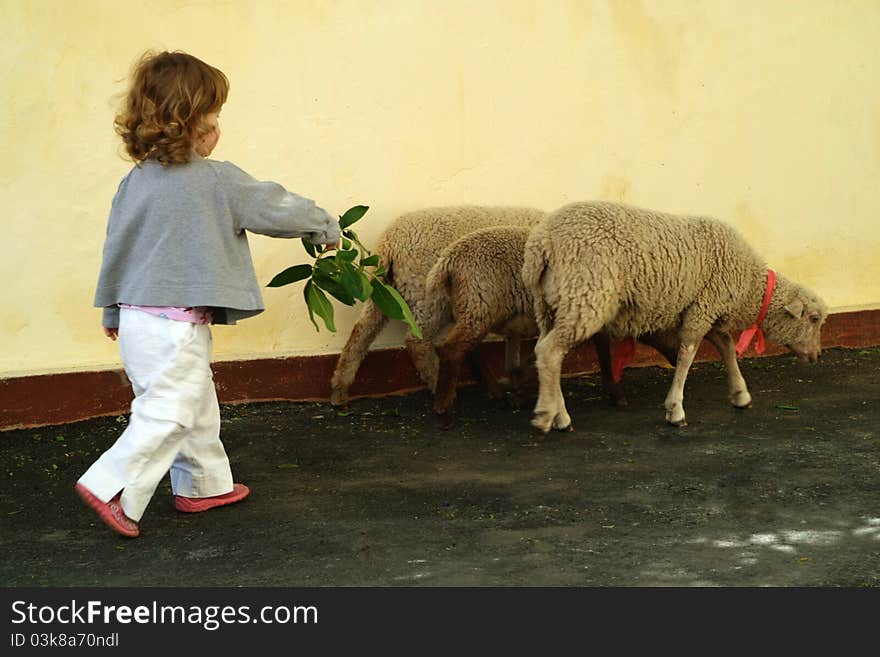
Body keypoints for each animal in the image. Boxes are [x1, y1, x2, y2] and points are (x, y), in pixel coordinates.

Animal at [330, 208, 548, 408]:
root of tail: (390, 243)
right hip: (429, 295)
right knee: (418, 341)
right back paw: (438, 385)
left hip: (384, 292)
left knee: (361, 332)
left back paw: (339, 390)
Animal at [520, 202, 828, 434]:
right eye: (814, 319)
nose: (817, 356)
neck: (750, 284)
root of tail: (542, 244)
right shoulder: (704, 308)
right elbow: (687, 355)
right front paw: (675, 409)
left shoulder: (706, 309)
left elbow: (727, 348)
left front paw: (740, 394)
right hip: (585, 295)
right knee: (549, 351)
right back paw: (547, 415)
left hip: (550, 305)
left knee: (549, 353)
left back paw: (559, 414)